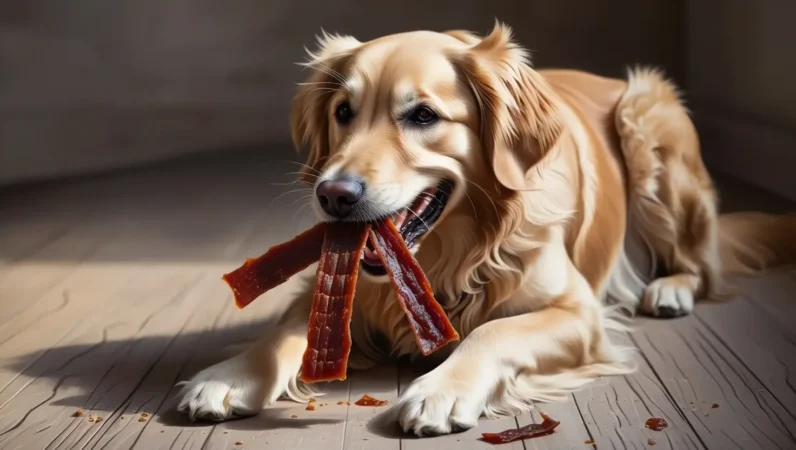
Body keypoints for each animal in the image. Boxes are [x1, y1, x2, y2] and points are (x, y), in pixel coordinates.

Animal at [176, 22, 796, 438]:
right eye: (343, 112)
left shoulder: (578, 310)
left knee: (699, 265)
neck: (451, 253)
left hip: (648, 119)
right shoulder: (330, 289)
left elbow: (492, 332)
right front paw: (231, 373)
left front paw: (441, 390)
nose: (333, 195)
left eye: (422, 116)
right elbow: (284, 329)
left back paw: (669, 288)